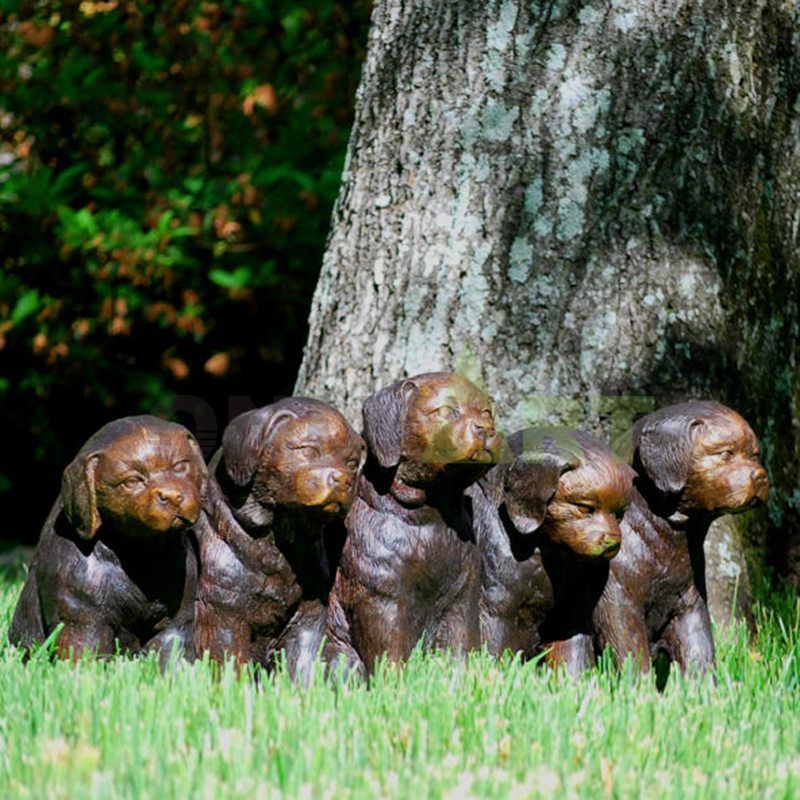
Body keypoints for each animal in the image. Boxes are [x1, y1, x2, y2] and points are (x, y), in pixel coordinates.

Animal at [8, 416, 206, 664]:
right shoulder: (83, 622)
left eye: (180, 466)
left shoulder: (176, 624)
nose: (171, 496)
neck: (143, 556)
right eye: (132, 481)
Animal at [194, 396, 366, 680]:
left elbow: (302, 664)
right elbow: (230, 664)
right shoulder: (222, 612)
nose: (343, 480)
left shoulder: (309, 615)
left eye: (352, 463)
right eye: (309, 451)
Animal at [324, 372, 500, 680]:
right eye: (446, 410)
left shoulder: (463, 594)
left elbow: (461, 646)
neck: (431, 515)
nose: (485, 430)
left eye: (487, 413)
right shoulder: (383, 598)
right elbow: (390, 654)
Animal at [476, 428, 632, 672]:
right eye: (584, 508)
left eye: (619, 514)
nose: (613, 543)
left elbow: (572, 657)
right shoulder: (495, 610)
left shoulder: (570, 612)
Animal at [592, 400, 768, 676]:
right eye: (725, 453)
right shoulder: (618, 602)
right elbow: (630, 653)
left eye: (754, 455)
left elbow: (699, 649)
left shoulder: (689, 601)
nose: (760, 476)